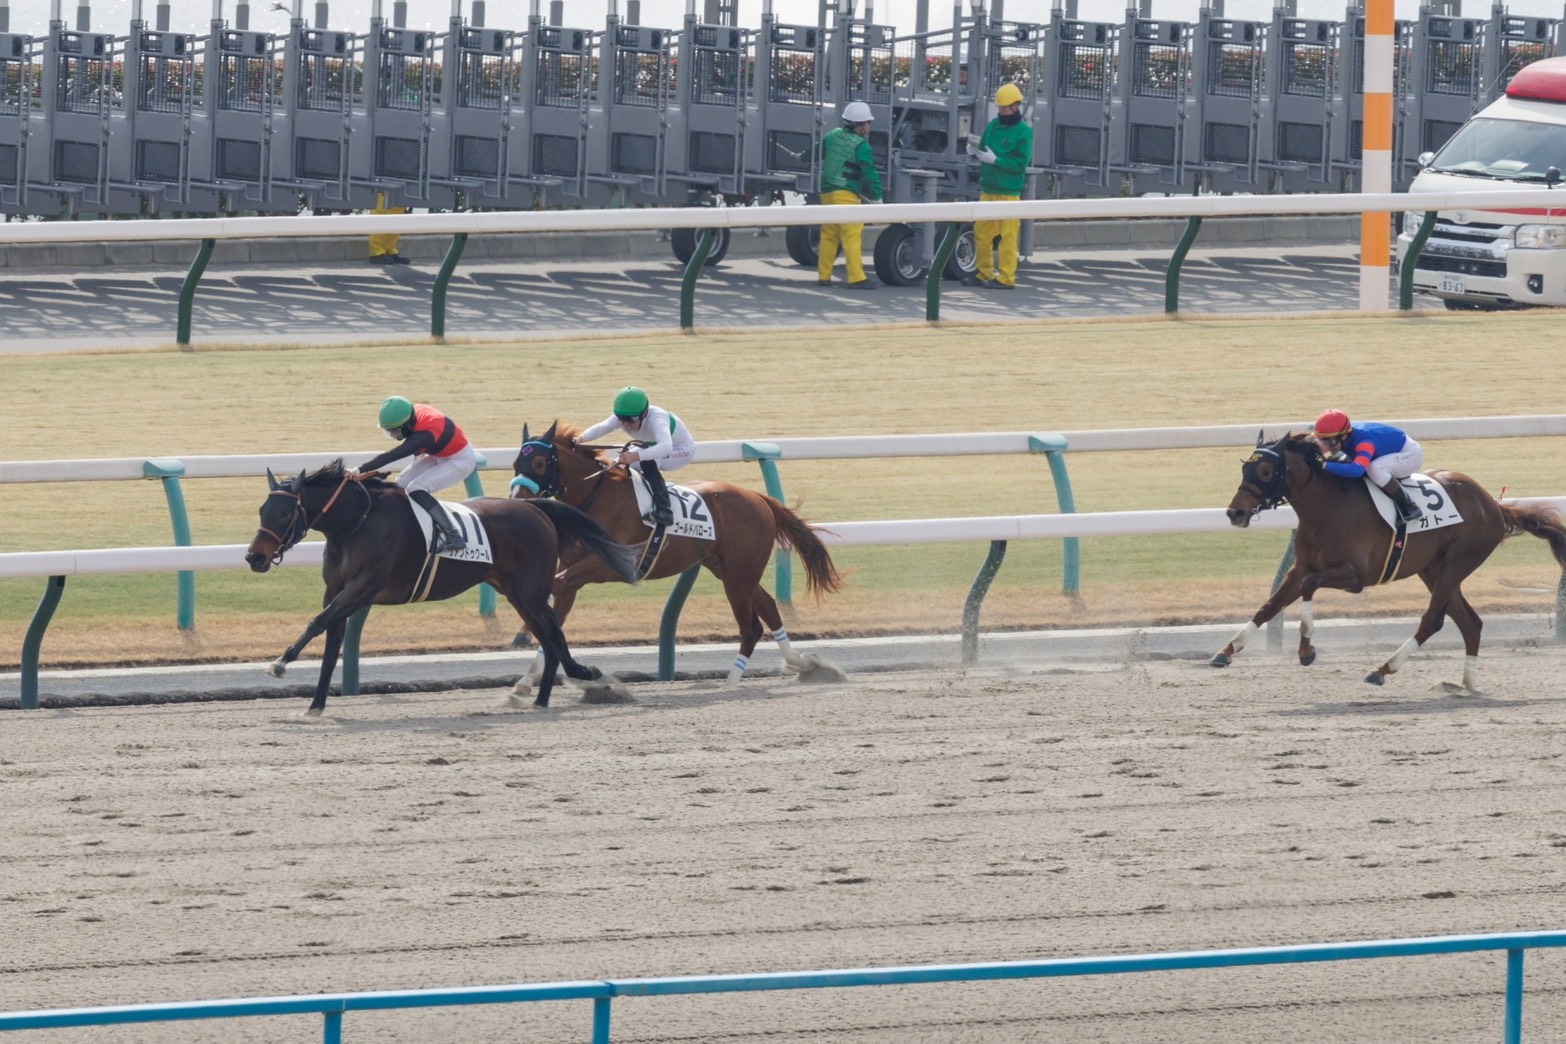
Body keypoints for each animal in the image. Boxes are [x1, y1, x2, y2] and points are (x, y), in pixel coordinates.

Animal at [243, 459, 640, 715]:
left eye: (284, 512)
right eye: (262, 510)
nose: (254, 557)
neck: (358, 521)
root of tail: (538, 509)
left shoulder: (363, 587)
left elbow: (318, 622)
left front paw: (279, 664)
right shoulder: (336, 590)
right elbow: (330, 645)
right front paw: (315, 705)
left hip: (530, 590)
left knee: (553, 634)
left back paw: (581, 677)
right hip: (515, 592)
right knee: (547, 635)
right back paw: (541, 699)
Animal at [509, 421, 845, 688]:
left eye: (539, 464)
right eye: (515, 464)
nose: (518, 500)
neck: (595, 495)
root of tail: (758, 498)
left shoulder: (607, 566)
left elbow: (554, 587)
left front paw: (523, 634)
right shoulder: (573, 570)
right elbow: (557, 604)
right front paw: (524, 683)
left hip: (738, 577)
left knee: (752, 626)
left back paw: (732, 682)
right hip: (731, 570)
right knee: (770, 608)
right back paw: (802, 663)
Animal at [1213, 432, 1566, 691]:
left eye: (1266, 471)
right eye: (1245, 468)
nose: (1235, 513)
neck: (1327, 506)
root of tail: (1494, 504)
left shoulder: (1355, 577)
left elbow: (1310, 588)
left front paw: (1307, 650)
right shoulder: (1301, 567)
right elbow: (1268, 606)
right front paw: (1225, 651)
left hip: (1457, 561)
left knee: (1433, 620)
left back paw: (1382, 669)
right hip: (1432, 569)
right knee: (1470, 623)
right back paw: (1466, 683)